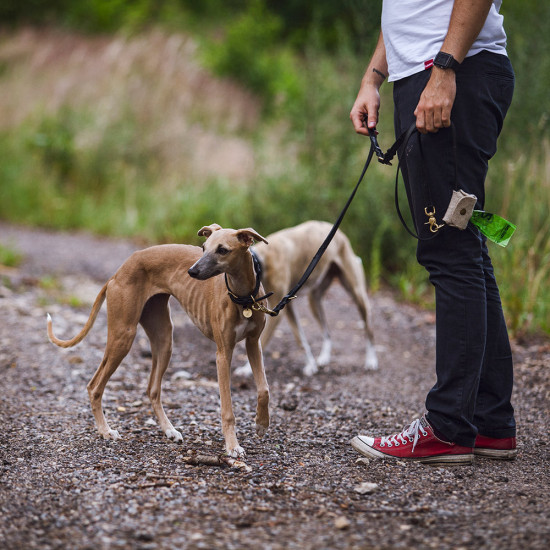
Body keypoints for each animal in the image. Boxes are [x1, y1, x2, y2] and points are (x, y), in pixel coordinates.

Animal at [47, 222, 270, 460]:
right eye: (203, 247)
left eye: (223, 250)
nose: (191, 271)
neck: (243, 297)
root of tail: (118, 272)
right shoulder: (223, 354)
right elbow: (227, 409)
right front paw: (232, 446)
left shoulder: (253, 344)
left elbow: (264, 389)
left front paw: (261, 424)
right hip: (122, 336)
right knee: (94, 386)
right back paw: (105, 430)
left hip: (164, 339)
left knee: (152, 389)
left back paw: (169, 430)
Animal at [235, 222, 382, 378]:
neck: (262, 263)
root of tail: (339, 233)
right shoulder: (287, 306)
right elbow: (300, 338)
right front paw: (311, 365)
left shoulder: (277, 312)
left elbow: (262, 342)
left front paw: (247, 369)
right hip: (314, 301)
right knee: (327, 332)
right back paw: (324, 357)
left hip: (358, 295)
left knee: (369, 330)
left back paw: (371, 360)